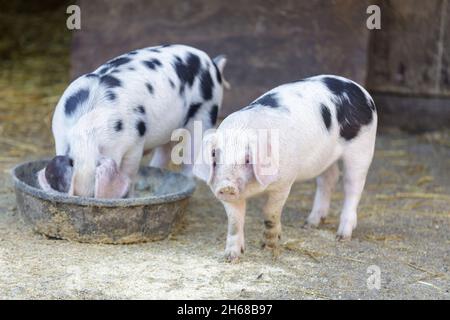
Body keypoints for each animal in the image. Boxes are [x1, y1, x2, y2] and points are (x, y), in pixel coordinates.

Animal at [38, 44, 227, 198]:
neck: (87, 137)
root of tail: (211, 62)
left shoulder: (135, 144)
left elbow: (129, 173)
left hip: (204, 116)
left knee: (189, 161)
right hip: (169, 128)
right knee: (164, 153)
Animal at [193, 75, 376, 262]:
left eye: (248, 158)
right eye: (214, 155)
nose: (226, 186)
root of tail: (359, 88)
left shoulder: (283, 183)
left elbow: (270, 213)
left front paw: (268, 246)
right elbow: (235, 222)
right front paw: (231, 257)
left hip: (362, 148)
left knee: (352, 187)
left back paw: (342, 236)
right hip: (325, 159)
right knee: (329, 179)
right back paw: (309, 224)